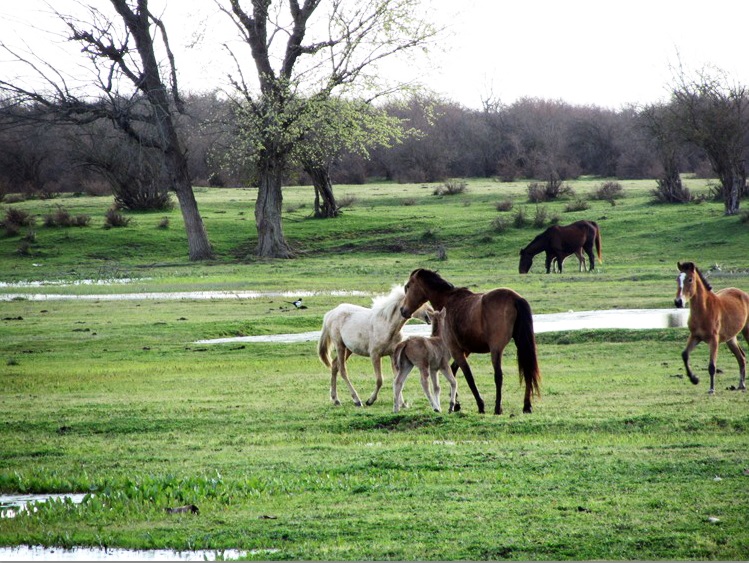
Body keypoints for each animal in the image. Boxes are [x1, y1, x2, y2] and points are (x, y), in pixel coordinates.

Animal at [400, 268, 540, 414]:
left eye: (408, 286)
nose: (402, 310)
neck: (448, 301)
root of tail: (515, 298)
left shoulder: (455, 350)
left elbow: (467, 376)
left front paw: (480, 405)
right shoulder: (465, 350)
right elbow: (454, 372)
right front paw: (456, 404)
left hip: (496, 350)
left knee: (498, 375)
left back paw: (497, 408)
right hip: (521, 344)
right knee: (527, 371)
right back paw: (526, 406)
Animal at [672, 262, 748, 394]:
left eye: (690, 279)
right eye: (677, 279)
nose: (678, 302)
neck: (704, 310)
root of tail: (743, 294)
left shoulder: (714, 340)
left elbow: (712, 366)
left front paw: (712, 389)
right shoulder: (695, 336)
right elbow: (685, 355)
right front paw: (694, 379)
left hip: (747, 331)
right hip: (731, 338)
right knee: (741, 357)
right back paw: (741, 385)